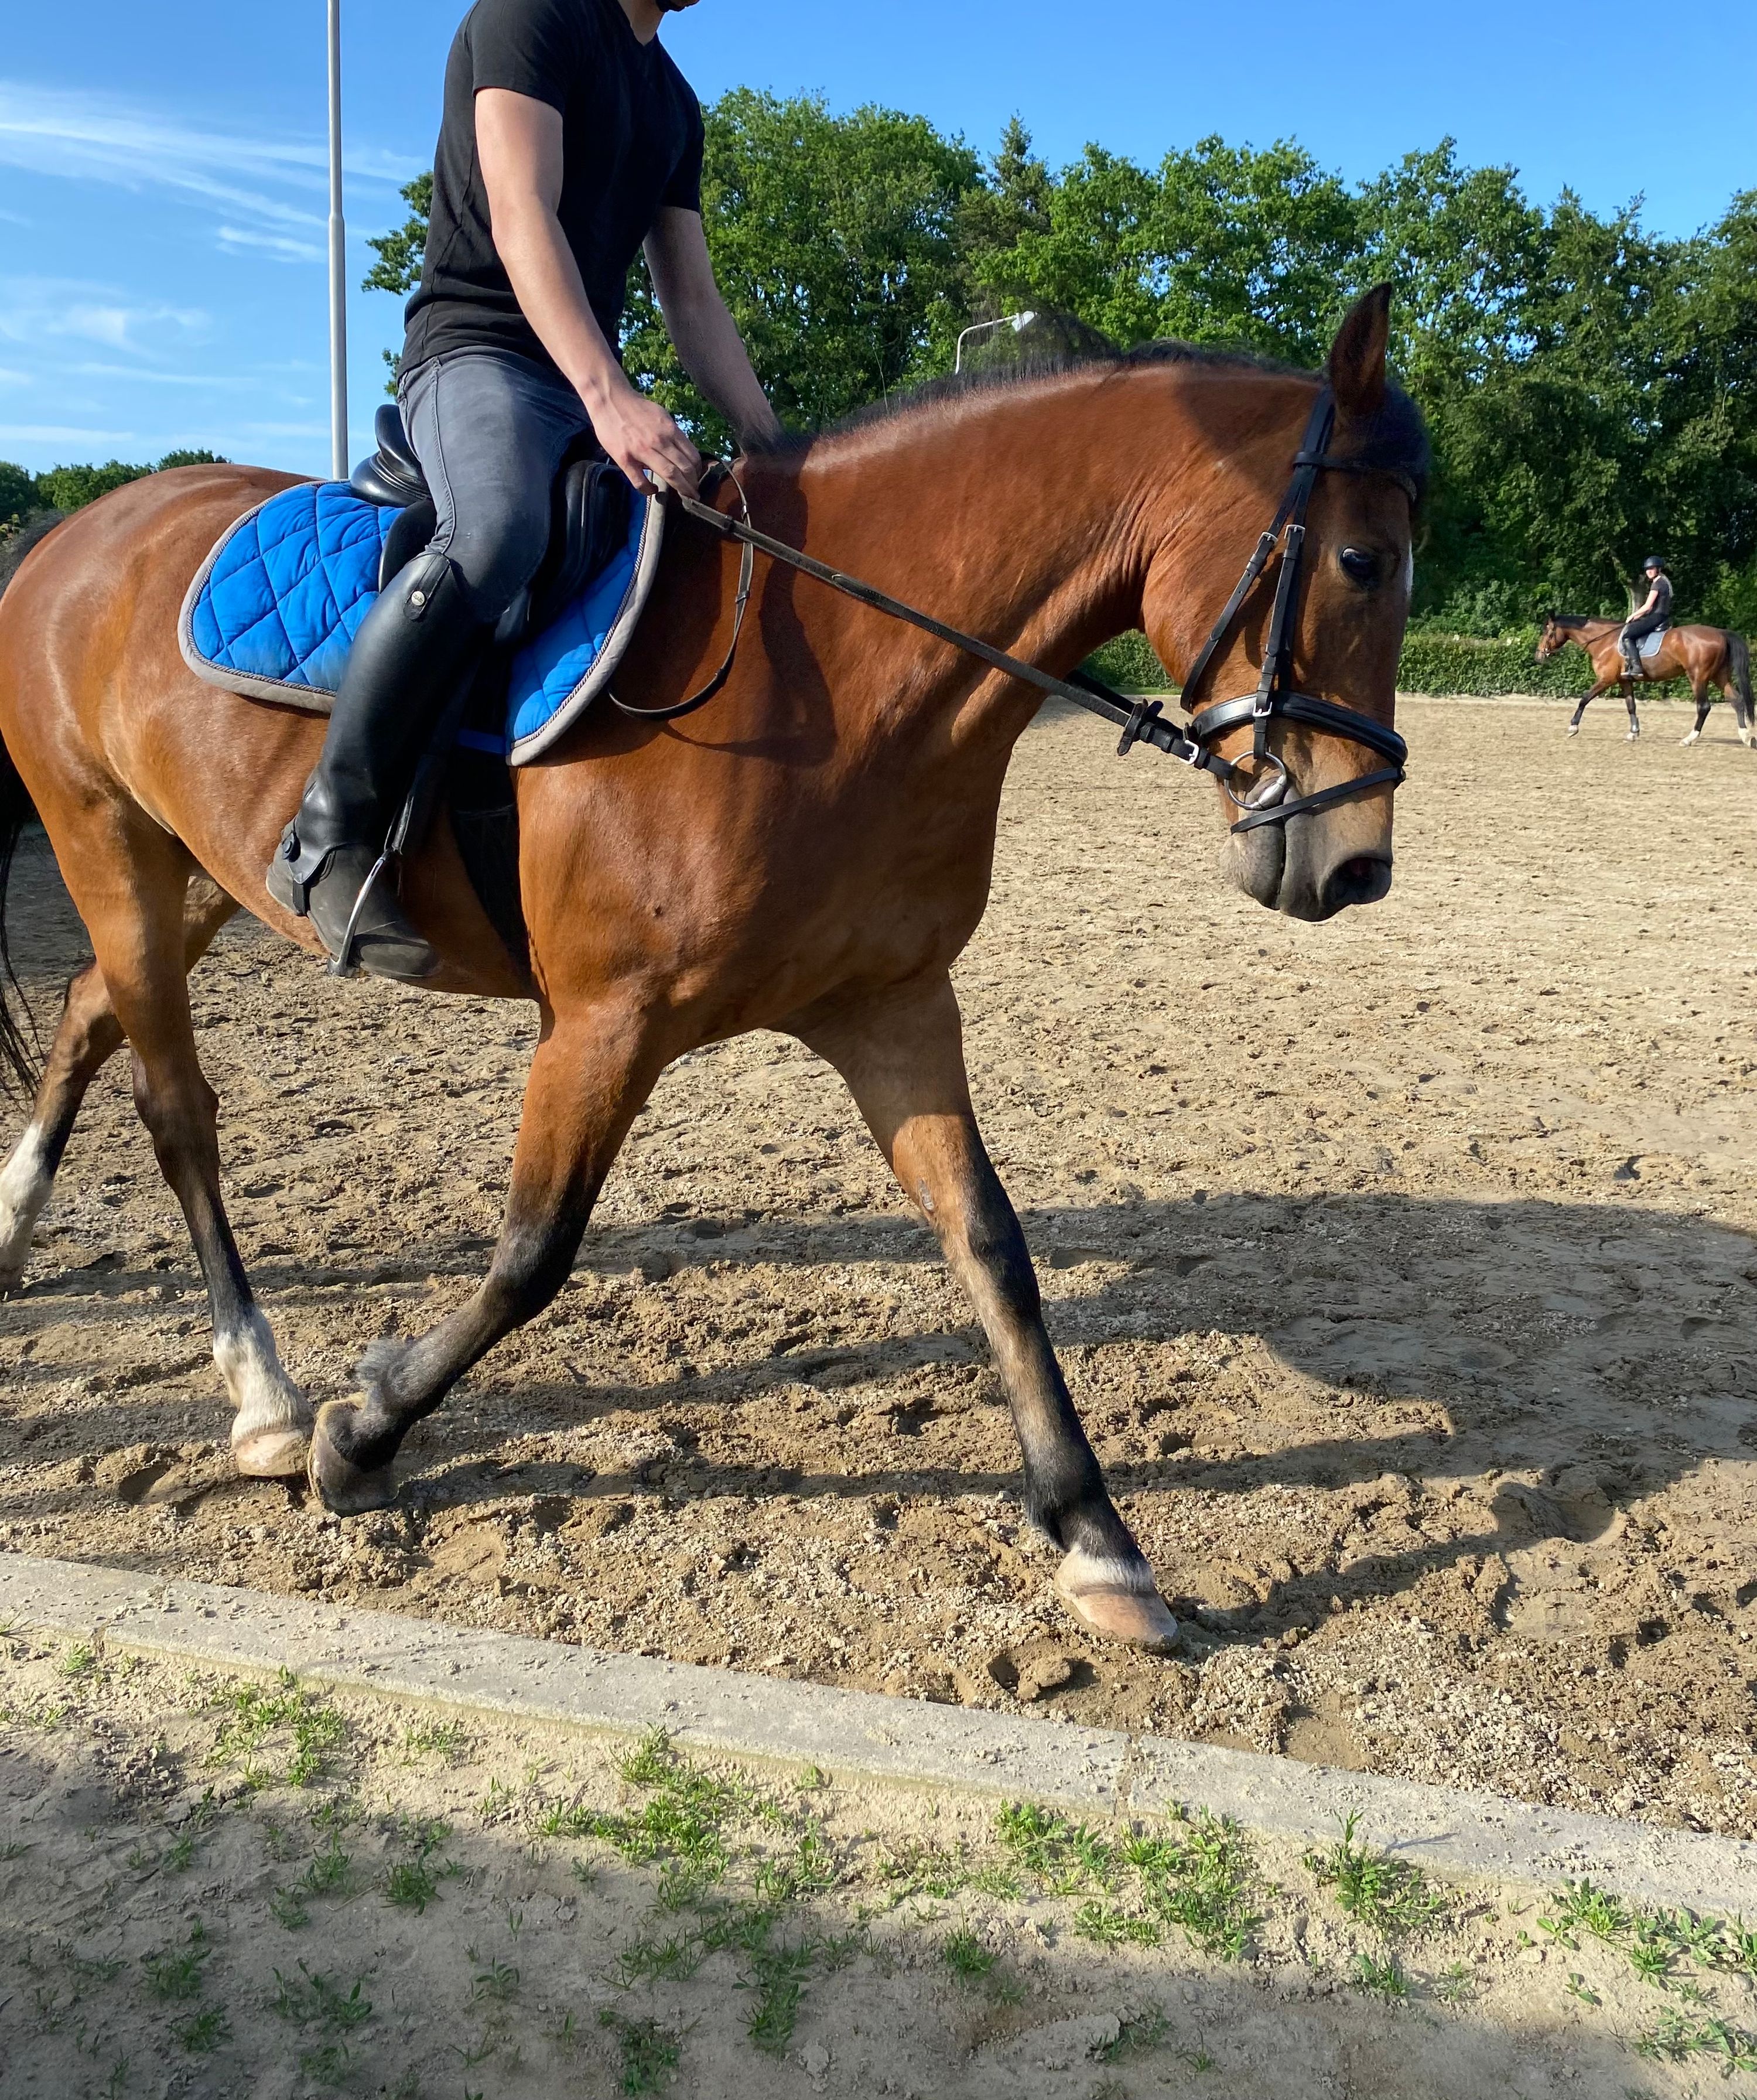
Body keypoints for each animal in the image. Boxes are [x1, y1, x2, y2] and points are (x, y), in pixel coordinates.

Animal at [0, 287, 1425, 1654]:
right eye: (1361, 559)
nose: (1354, 862)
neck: (842, 670)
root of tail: (84, 528)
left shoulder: (895, 1009)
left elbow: (992, 1248)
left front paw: (1098, 1539)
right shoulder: (603, 1024)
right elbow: (533, 1253)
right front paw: (363, 1434)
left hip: (199, 872)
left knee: (85, 1013)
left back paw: (14, 1227)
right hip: (107, 845)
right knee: (177, 1106)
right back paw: (264, 1397)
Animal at [1536, 612, 1755, 745]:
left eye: (1547, 631)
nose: (1538, 656)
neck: (1604, 641)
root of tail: (1720, 633)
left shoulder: (1607, 680)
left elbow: (1584, 698)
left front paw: (1573, 727)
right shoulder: (1624, 681)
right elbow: (1631, 706)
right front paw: (1634, 732)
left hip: (1698, 677)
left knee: (1704, 707)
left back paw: (1690, 738)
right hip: (1720, 676)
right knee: (1736, 700)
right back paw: (1746, 737)